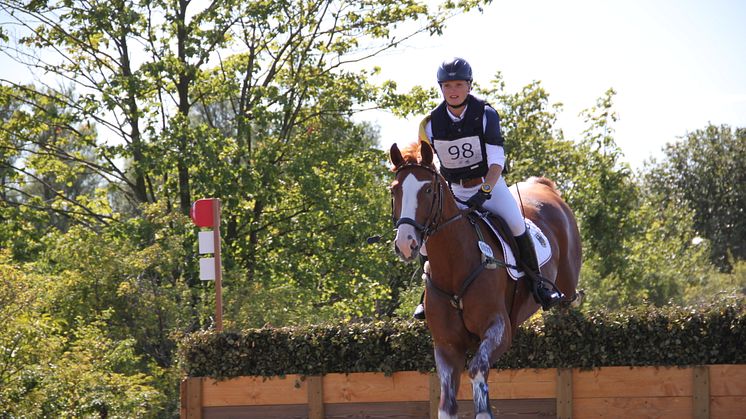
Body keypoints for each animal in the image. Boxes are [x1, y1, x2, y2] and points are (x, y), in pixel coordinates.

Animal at [390, 142, 580, 419]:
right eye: (394, 190)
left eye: (427, 190)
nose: (406, 243)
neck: (454, 264)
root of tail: (544, 186)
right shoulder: (447, 345)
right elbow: (446, 405)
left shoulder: (499, 330)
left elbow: (478, 373)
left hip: (567, 287)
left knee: (570, 304)